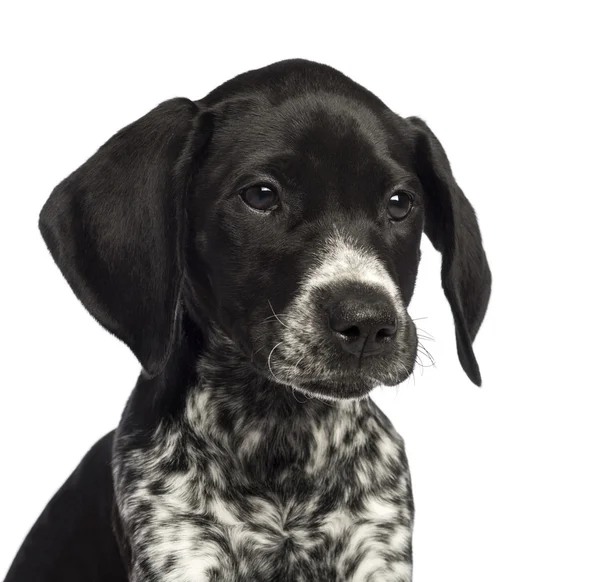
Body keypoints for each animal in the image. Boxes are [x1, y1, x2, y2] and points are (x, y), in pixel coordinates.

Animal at [4, 60, 490, 582]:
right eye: (260, 195)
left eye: (400, 203)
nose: (366, 324)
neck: (281, 438)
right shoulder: (179, 552)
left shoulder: (378, 552)